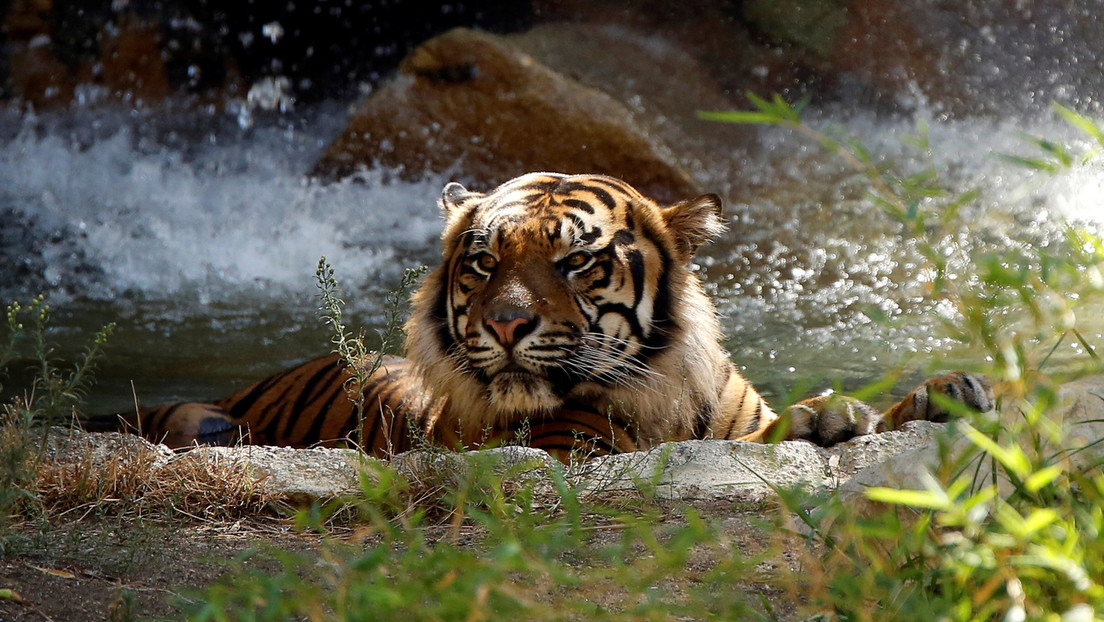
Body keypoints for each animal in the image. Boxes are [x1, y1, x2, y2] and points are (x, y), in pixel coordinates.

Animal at [126, 172, 994, 461]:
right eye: (484, 262)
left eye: (577, 261)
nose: (507, 325)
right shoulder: (565, 451)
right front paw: (828, 418)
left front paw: (945, 391)